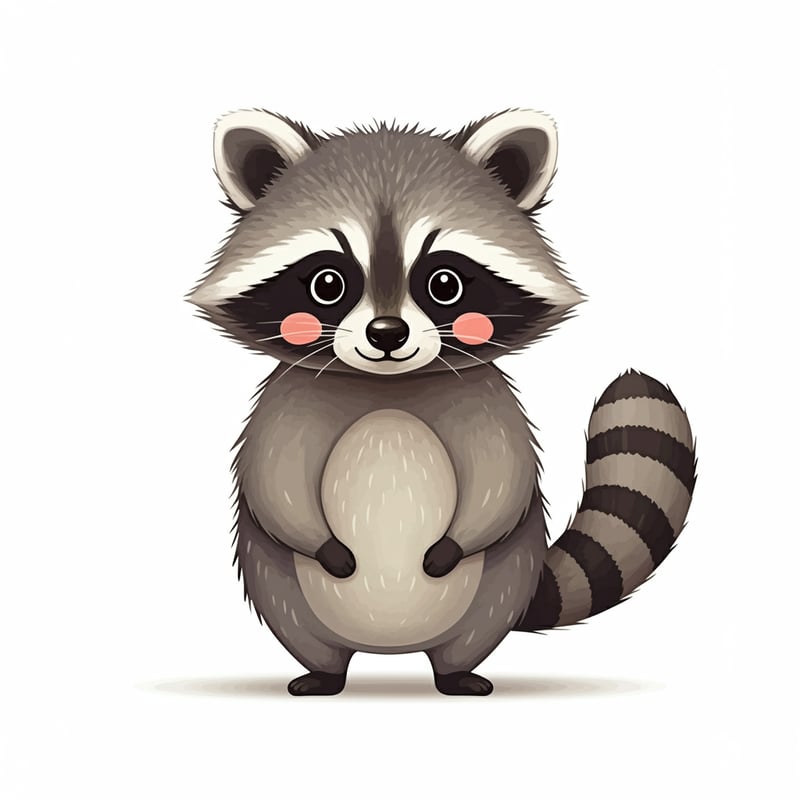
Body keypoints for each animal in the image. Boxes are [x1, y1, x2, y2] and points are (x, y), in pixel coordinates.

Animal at [187, 108, 697, 696]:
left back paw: (457, 675)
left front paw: (457, 540)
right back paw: (323, 673)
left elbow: (502, 478)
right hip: (283, 593)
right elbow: (275, 482)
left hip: (498, 587)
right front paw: (320, 542)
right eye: (327, 283)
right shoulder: (288, 398)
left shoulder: (484, 398)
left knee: (469, 634)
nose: (387, 334)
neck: (388, 384)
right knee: (303, 630)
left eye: (445, 283)